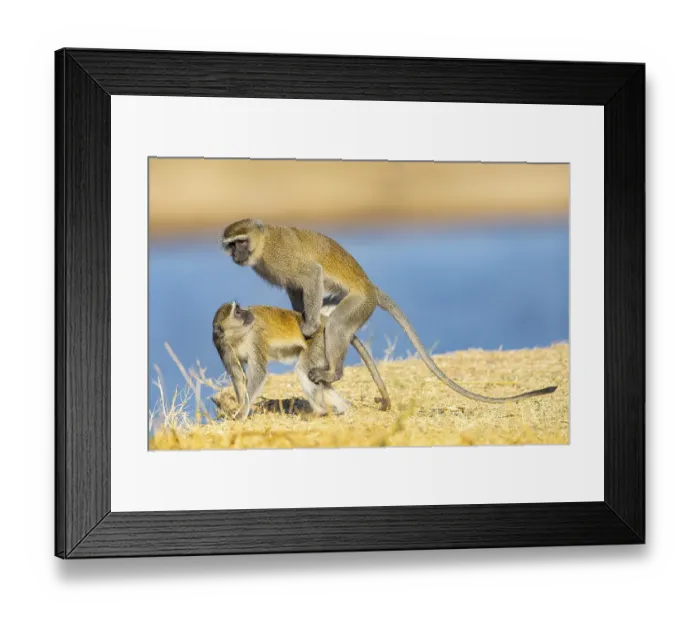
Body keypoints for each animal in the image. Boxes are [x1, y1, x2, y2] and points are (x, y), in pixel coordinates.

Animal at [212, 301, 391, 421]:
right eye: (238, 312)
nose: (248, 312)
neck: (238, 337)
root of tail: (325, 322)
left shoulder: (255, 337)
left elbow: (258, 373)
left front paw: (242, 413)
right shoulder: (222, 345)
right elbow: (237, 375)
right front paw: (241, 407)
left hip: (320, 341)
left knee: (303, 370)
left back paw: (320, 412)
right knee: (319, 379)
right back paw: (341, 409)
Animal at [221, 219, 557, 404]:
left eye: (240, 242)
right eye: (230, 245)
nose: (235, 255)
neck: (263, 244)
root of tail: (370, 287)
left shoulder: (282, 257)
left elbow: (311, 275)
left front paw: (308, 325)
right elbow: (297, 288)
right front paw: (303, 317)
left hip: (359, 303)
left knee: (338, 325)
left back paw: (333, 371)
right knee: (335, 321)